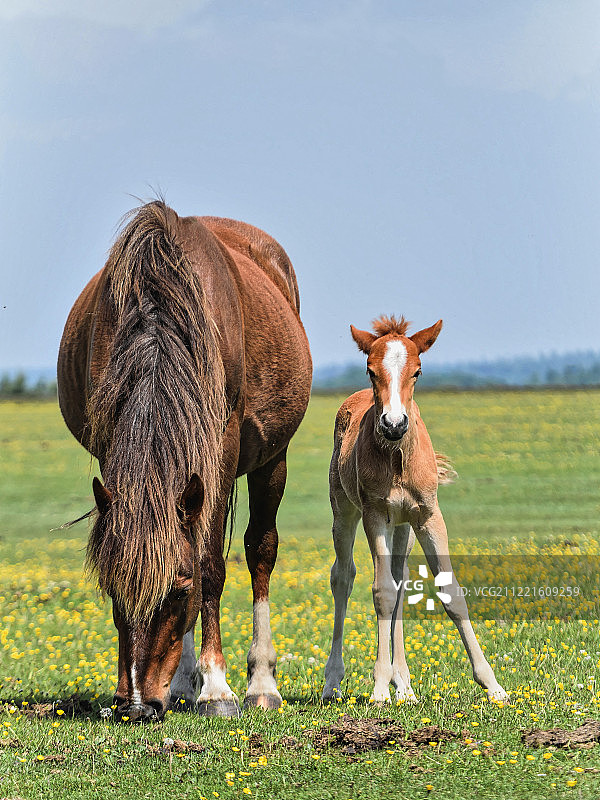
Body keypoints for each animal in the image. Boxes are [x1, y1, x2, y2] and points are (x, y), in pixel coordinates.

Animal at [57, 200, 312, 721]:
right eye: (110, 588)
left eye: (179, 588)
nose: (135, 705)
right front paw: (191, 684)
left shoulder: (223, 444)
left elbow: (211, 564)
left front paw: (218, 689)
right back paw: (180, 686)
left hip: (271, 460)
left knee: (260, 550)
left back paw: (259, 684)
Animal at [322, 315, 507, 704]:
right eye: (370, 369)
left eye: (418, 371)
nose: (394, 424)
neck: (397, 458)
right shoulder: (375, 515)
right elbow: (381, 592)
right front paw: (379, 687)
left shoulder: (428, 516)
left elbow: (449, 592)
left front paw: (493, 685)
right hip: (344, 512)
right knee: (343, 577)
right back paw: (334, 681)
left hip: (403, 528)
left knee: (401, 580)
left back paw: (404, 684)